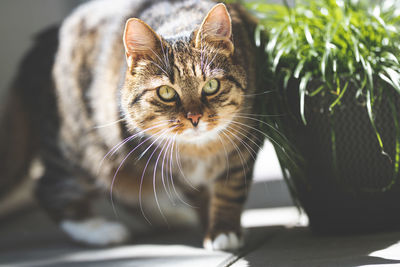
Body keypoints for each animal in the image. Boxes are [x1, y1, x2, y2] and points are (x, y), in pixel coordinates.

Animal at [1, 0, 264, 251]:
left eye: (211, 86)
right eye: (166, 92)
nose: (195, 117)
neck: (200, 150)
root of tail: (38, 47)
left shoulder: (246, 146)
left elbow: (230, 191)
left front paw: (222, 229)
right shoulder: (170, 165)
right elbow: (201, 194)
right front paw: (215, 227)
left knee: (126, 190)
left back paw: (170, 217)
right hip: (79, 150)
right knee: (48, 187)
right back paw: (98, 230)